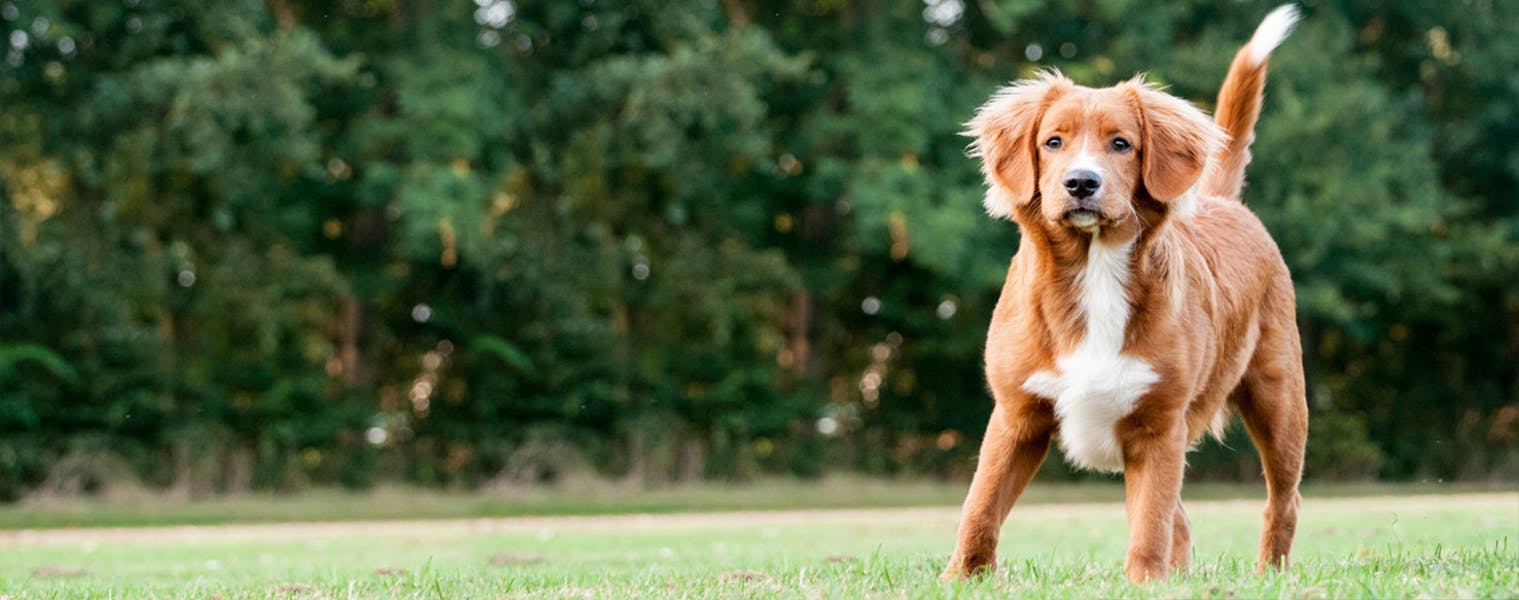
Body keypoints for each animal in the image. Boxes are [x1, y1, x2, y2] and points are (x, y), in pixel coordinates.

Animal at [935, 4, 1306, 586]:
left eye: (1121, 143)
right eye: (1053, 142)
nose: (1081, 183)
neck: (1095, 271)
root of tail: (1224, 202)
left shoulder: (1159, 425)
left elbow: (1150, 520)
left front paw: (1146, 583)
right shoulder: (1016, 415)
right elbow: (980, 507)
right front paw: (961, 579)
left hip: (1280, 397)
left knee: (1280, 501)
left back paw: (1271, 572)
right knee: (1183, 519)